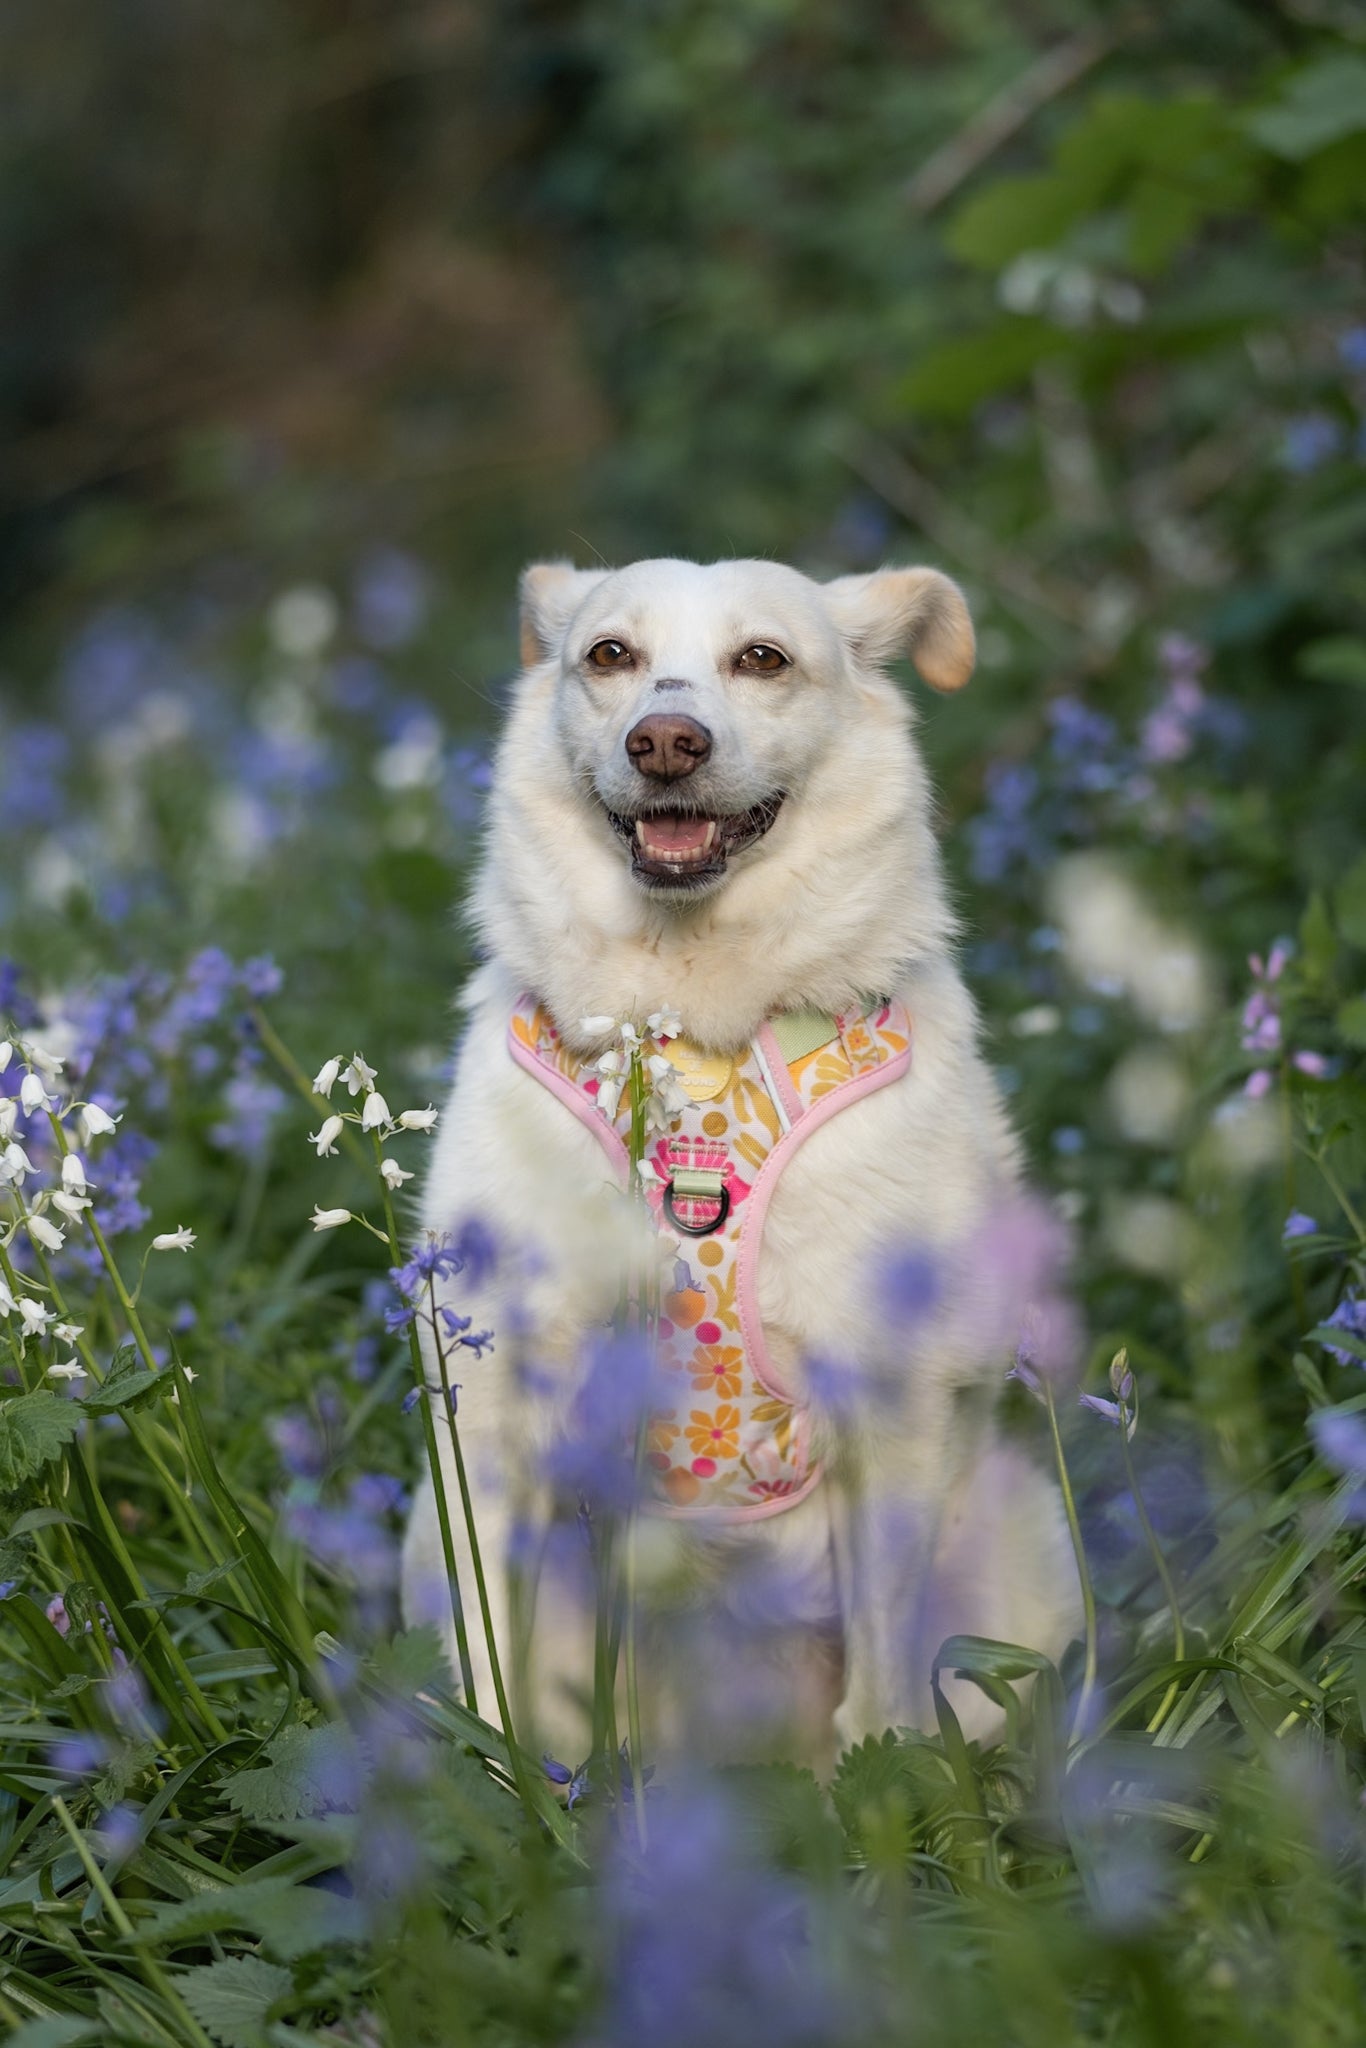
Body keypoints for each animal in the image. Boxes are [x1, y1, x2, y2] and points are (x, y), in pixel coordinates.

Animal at [401, 561, 1081, 1761]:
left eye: (762, 658)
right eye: (609, 655)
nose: (664, 741)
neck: (691, 1037)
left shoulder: (892, 1409)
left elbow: (881, 1678)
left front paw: (881, 1785)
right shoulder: (492, 1423)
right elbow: (488, 1672)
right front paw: (487, 1792)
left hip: (1015, 1532)